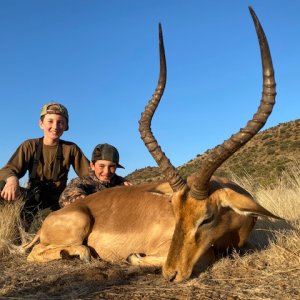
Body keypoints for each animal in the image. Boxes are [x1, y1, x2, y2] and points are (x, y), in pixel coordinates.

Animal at [24, 7, 280, 284]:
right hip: (78, 225)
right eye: (175, 213)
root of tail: (51, 219)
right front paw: (134, 257)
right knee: (41, 253)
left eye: (207, 218)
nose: (171, 273)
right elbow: (206, 255)